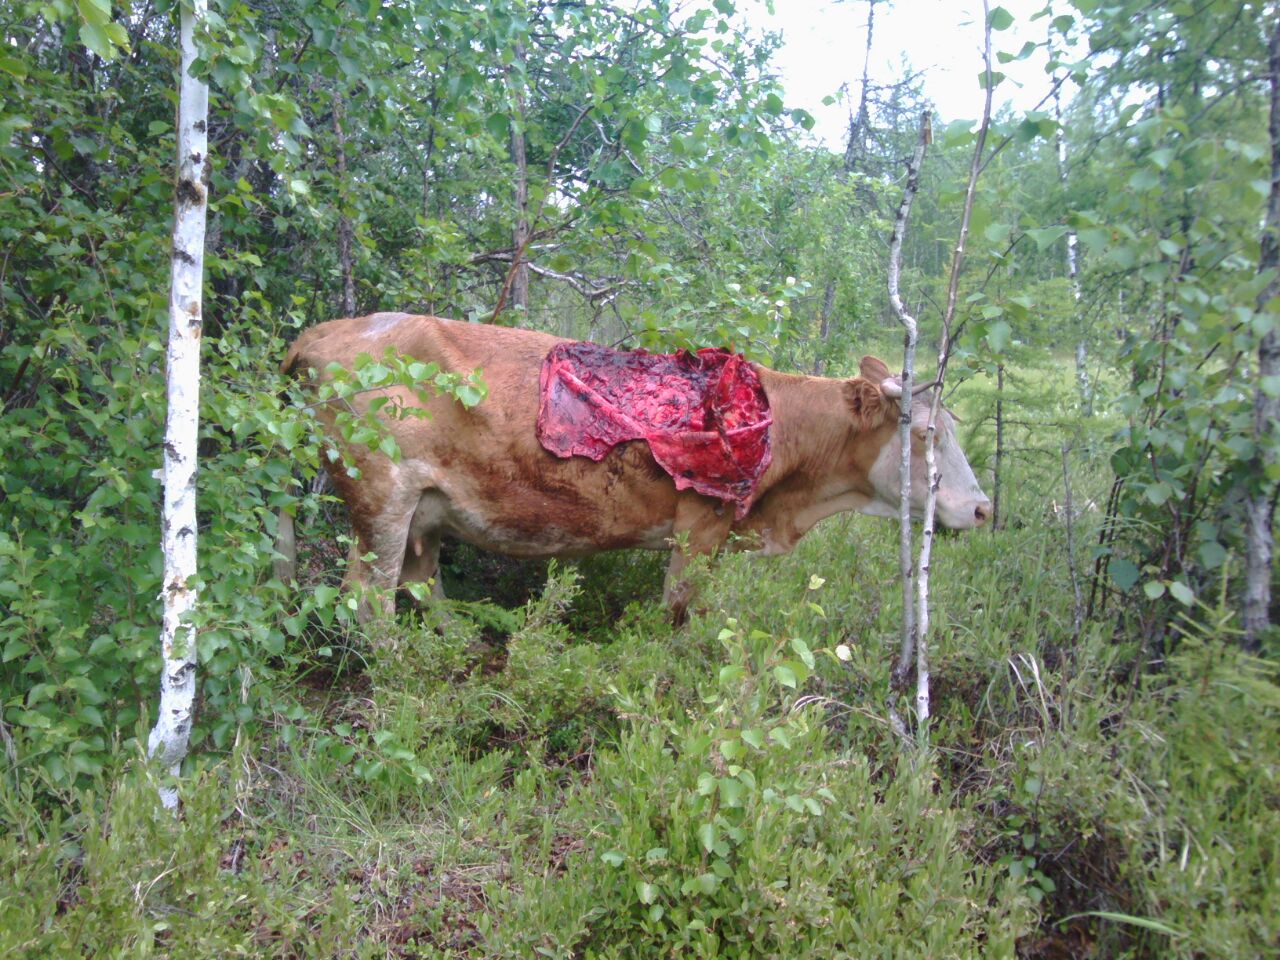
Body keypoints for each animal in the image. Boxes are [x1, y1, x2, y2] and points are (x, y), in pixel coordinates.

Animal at [280, 313, 990, 623]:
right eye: (927, 432)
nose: (984, 508)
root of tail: (324, 331)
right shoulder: (699, 528)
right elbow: (677, 615)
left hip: (425, 508)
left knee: (421, 583)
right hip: (381, 498)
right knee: (368, 600)